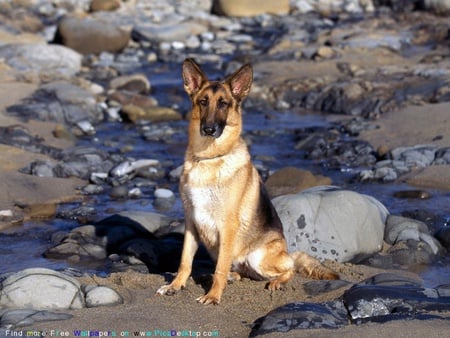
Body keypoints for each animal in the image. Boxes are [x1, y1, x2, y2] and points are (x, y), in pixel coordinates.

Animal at [156, 58, 336, 304]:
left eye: (223, 104)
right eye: (203, 102)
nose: (209, 129)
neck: (210, 158)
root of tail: (287, 252)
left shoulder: (227, 226)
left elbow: (220, 268)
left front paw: (213, 295)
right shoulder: (191, 223)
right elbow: (185, 261)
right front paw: (175, 285)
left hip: (258, 256)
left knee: (289, 268)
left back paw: (276, 282)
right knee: (241, 271)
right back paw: (233, 276)